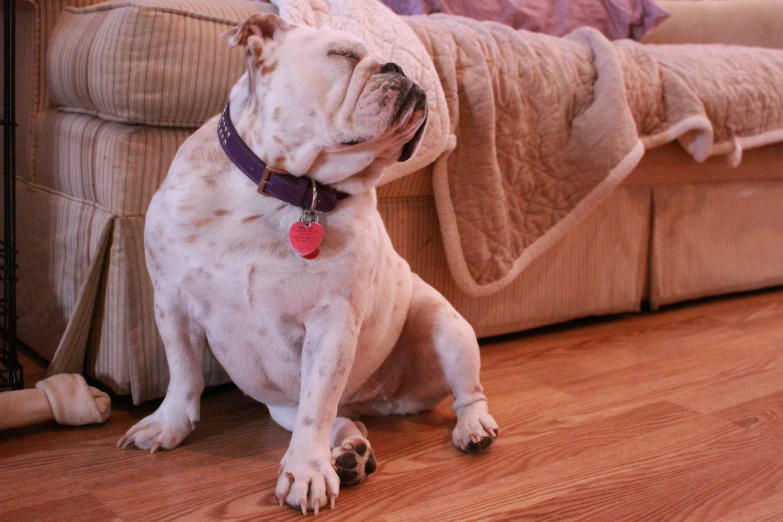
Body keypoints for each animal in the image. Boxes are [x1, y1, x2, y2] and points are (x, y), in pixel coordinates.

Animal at [119, 13, 500, 516]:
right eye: (342, 55)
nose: (403, 71)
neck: (284, 189)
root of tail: (384, 402)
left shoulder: (331, 322)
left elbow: (317, 400)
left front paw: (306, 472)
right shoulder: (172, 303)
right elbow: (183, 372)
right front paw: (168, 425)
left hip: (447, 327)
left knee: (465, 393)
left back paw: (472, 428)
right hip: (291, 408)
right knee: (341, 422)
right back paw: (350, 456)